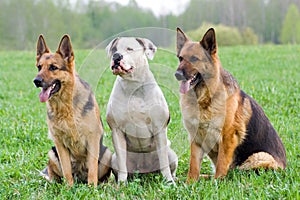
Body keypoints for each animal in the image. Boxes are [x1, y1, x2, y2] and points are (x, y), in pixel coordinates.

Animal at [33, 35, 112, 187]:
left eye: (53, 67)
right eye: (39, 67)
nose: (36, 81)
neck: (65, 106)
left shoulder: (92, 138)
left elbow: (92, 169)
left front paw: (92, 188)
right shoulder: (59, 143)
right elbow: (67, 170)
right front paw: (68, 188)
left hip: (107, 153)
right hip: (52, 153)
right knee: (56, 174)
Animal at [106, 36, 178, 184]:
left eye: (130, 49)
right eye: (114, 49)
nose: (117, 56)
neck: (133, 85)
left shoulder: (159, 129)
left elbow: (164, 163)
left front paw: (169, 183)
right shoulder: (117, 131)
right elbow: (122, 166)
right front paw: (122, 184)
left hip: (171, 154)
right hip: (114, 159)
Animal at [175, 28, 288, 183]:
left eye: (194, 59)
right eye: (180, 58)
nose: (177, 74)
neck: (205, 98)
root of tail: (284, 167)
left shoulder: (228, 137)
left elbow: (222, 165)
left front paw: (216, 184)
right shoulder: (196, 139)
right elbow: (193, 167)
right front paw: (189, 183)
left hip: (259, 157)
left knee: (235, 172)